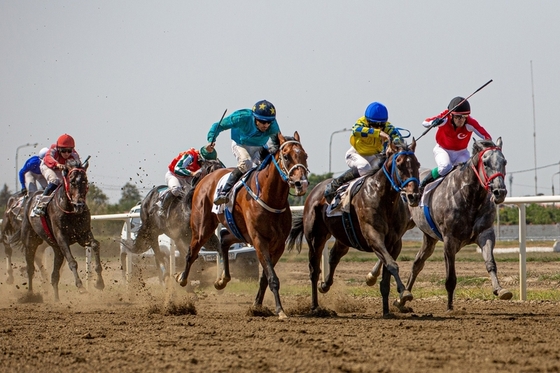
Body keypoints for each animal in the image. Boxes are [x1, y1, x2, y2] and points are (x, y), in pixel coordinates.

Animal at [18, 158, 104, 300]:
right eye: (72, 181)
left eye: (85, 181)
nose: (79, 205)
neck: (70, 211)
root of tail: (31, 198)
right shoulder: (62, 238)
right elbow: (72, 262)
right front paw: (81, 287)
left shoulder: (83, 235)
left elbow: (96, 244)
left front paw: (99, 282)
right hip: (30, 242)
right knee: (30, 269)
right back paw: (30, 295)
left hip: (57, 249)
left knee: (54, 276)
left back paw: (57, 300)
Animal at [179, 132, 308, 318]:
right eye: (286, 156)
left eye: (305, 155)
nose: (301, 183)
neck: (270, 198)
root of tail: (206, 177)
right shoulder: (259, 240)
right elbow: (272, 277)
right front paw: (280, 310)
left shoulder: (278, 244)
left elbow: (265, 277)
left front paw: (257, 306)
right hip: (202, 226)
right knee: (192, 251)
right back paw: (182, 278)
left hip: (238, 230)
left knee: (224, 239)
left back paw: (222, 280)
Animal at [286, 138, 422, 316]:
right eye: (399, 164)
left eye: (417, 164)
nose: (414, 196)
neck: (383, 197)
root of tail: (314, 191)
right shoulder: (373, 236)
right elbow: (392, 264)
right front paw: (404, 292)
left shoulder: (394, 243)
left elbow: (387, 273)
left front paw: (386, 311)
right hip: (316, 238)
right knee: (314, 271)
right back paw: (315, 306)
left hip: (343, 237)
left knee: (334, 256)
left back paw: (325, 285)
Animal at [368, 137, 512, 310]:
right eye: (486, 163)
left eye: (504, 161)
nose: (499, 192)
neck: (469, 197)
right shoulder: (449, 240)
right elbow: (451, 278)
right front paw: (449, 307)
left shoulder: (485, 233)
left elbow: (490, 263)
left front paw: (500, 290)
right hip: (401, 226)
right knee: (388, 251)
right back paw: (372, 276)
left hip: (429, 238)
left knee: (417, 264)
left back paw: (402, 299)